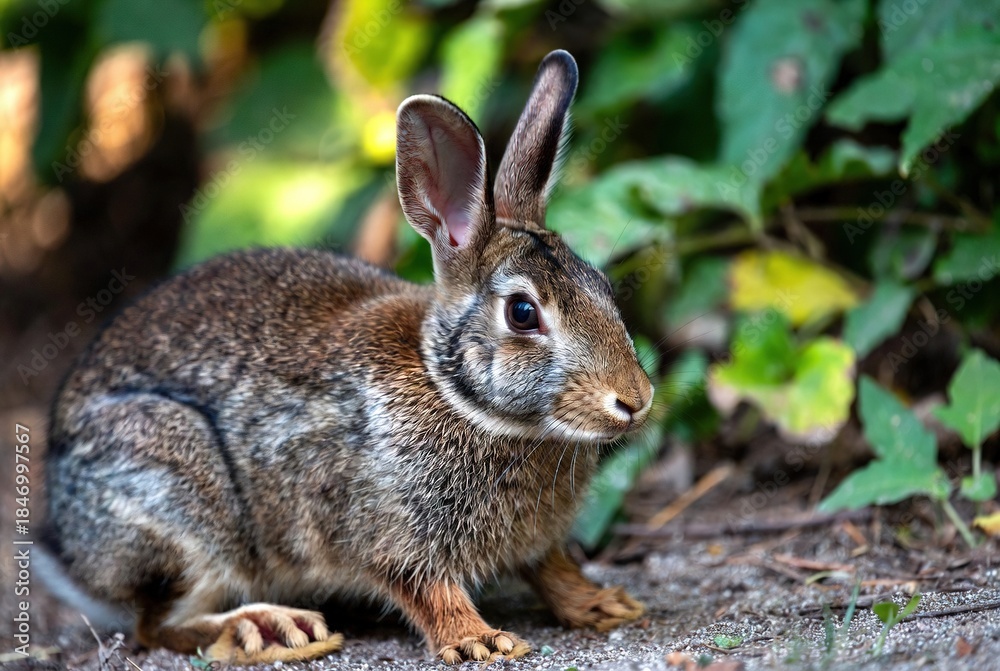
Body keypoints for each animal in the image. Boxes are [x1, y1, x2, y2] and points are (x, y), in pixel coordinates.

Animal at [41, 49, 653, 665]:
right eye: (523, 313)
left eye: (601, 284)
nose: (636, 400)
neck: (454, 391)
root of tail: (65, 548)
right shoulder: (382, 530)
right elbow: (426, 588)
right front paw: (480, 640)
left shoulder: (535, 545)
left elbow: (552, 570)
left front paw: (603, 605)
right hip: (178, 502)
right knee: (158, 624)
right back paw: (269, 628)